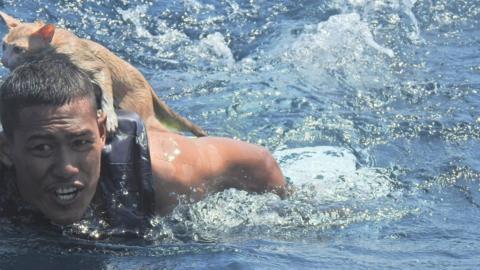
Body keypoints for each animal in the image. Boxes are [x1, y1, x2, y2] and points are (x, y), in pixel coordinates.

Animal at [0, 11, 206, 136]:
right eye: (3, 46)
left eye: (18, 50)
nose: (3, 60)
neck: (53, 46)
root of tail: (147, 84)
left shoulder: (85, 61)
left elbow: (102, 77)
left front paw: (110, 115)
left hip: (138, 106)